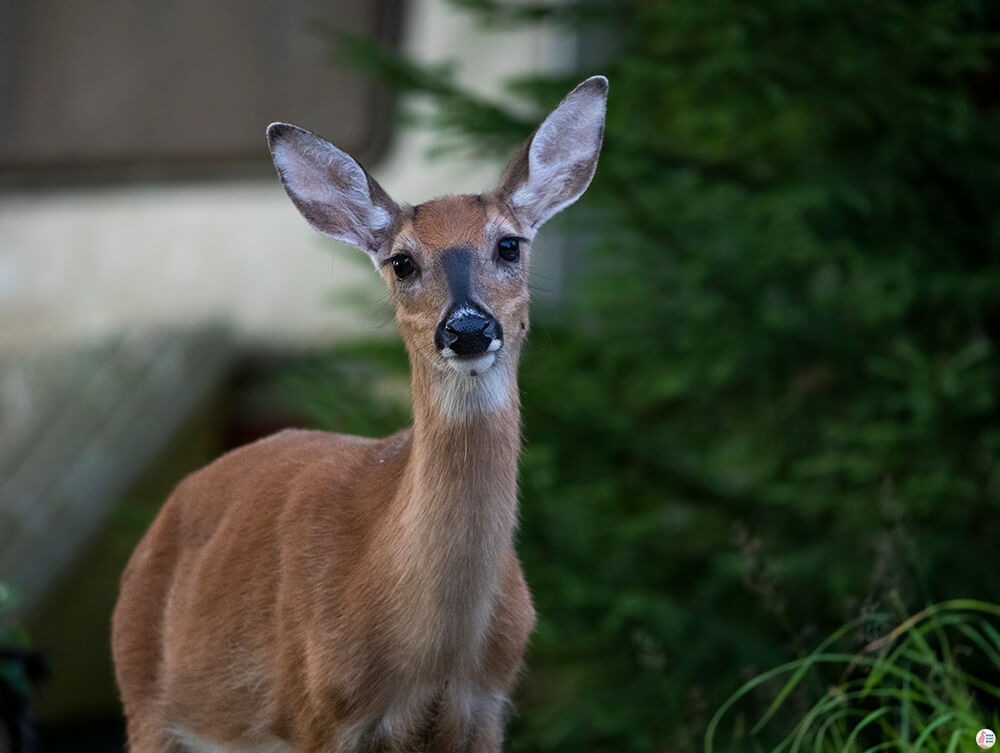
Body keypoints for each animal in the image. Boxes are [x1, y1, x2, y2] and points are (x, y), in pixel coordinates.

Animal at [111, 75, 608, 752]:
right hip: (146, 706)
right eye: (402, 261)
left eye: (509, 244)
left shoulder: (488, 707)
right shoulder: (321, 714)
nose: (468, 328)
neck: (435, 656)